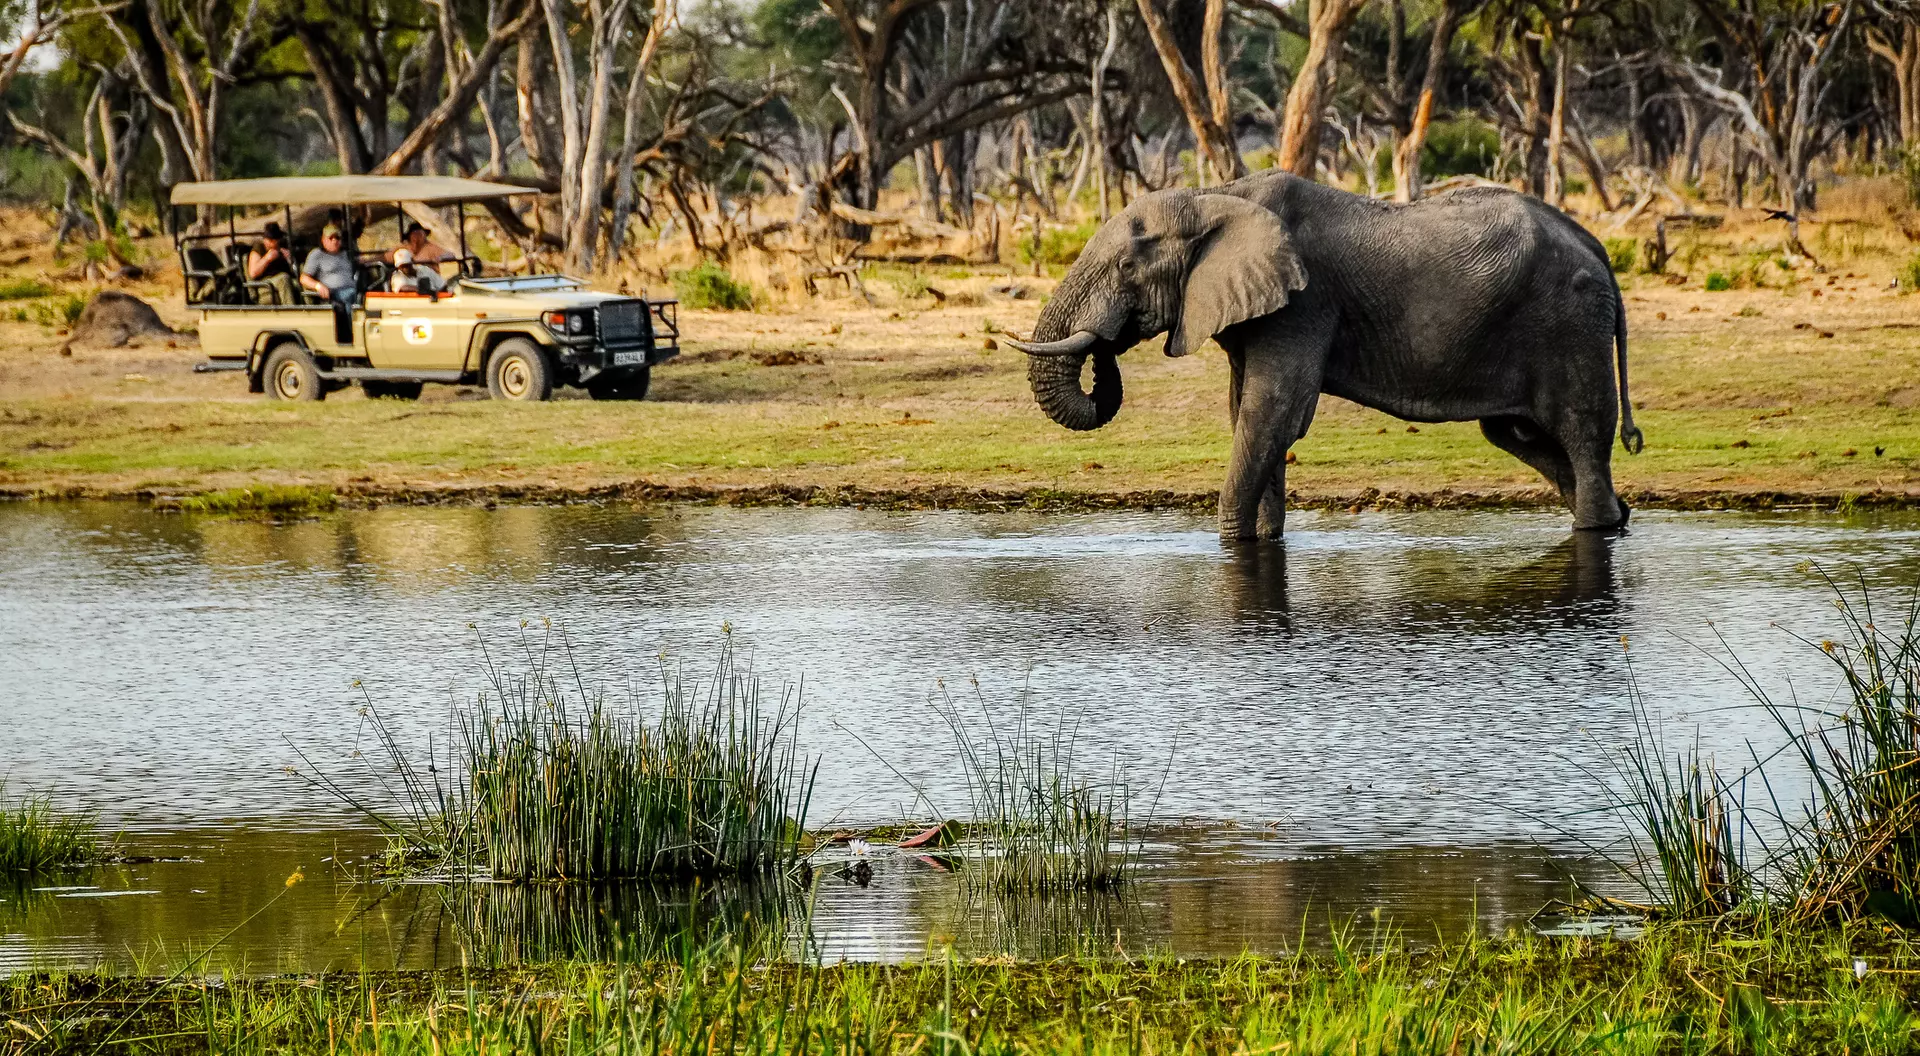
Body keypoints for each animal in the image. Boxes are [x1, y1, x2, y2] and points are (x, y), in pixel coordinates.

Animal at [1007, 170, 1645, 540]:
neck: (1214, 196)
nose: (1107, 344)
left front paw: (1231, 543)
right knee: (1520, 436)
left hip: (1569, 326)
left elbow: (1272, 413)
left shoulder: (1304, 304)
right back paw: (1617, 517)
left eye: (1126, 267)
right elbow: (1248, 417)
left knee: (1580, 434)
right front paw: (1262, 541)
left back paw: (1597, 525)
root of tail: (1598, 247)